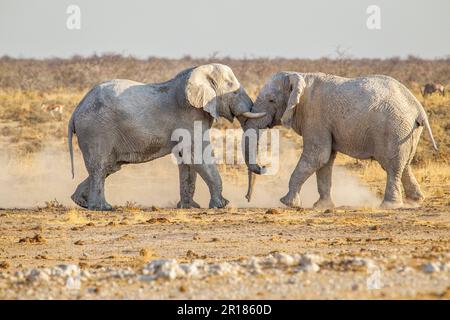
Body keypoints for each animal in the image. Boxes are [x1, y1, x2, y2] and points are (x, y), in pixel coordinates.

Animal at [68, 63, 266, 211]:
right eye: (234, 92)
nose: (263, 167)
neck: (197, 72)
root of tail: (76, 111)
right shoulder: (189, 115)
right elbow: (196, 155)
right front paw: (221, 205)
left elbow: (186, 159)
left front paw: (190, 207)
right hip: (97, 130)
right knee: (100, 166)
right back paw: (103, 208)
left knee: (109, 167)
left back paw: (80, 201)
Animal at [244, 71, 438, 209]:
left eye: (271, 100)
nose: (247, 198)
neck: (299, 76)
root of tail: (418, 107)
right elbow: (325, 160)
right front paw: (321, 206)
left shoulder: (315, 116)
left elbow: (317, 156)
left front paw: (287, 203)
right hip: (407, 131)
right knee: (405, 165)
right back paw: (415, 201)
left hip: (395, 129)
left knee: (392, 165)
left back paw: (389, 206)